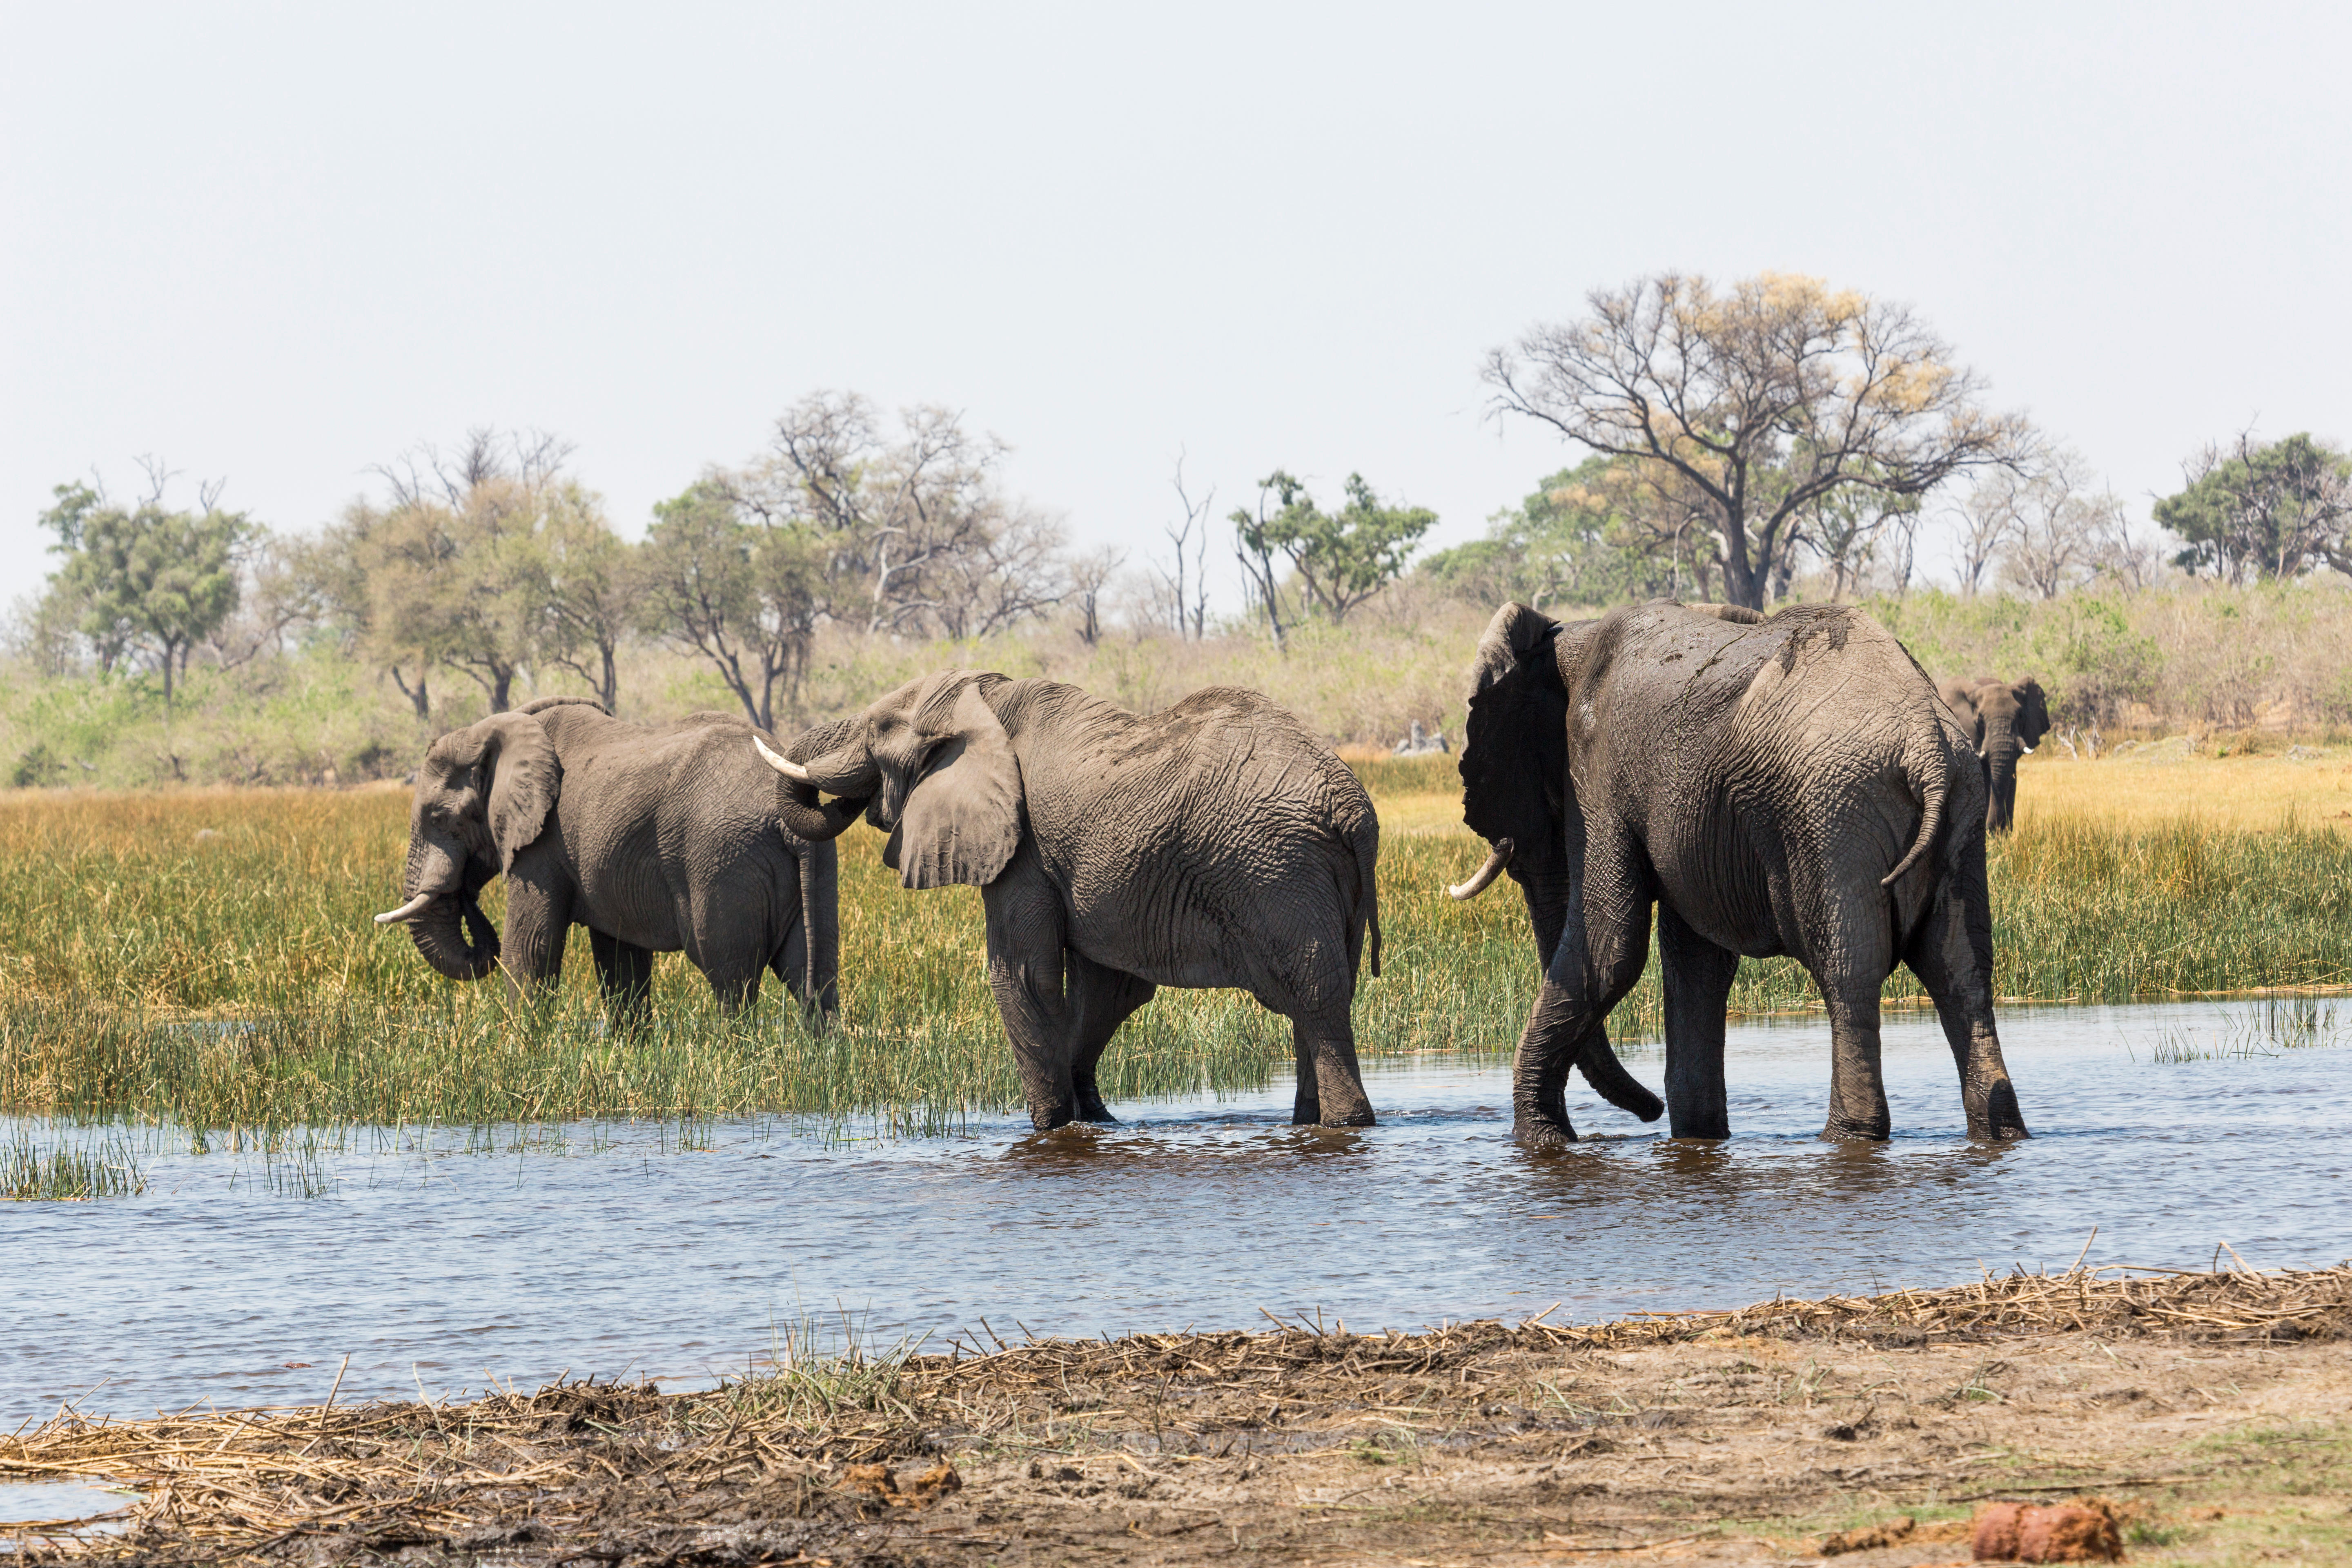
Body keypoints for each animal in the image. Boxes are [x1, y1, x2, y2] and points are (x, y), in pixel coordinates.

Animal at [372, 700, 842, 1025]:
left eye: (438, 819)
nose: (466, 893)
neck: (500, 727)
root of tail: (782, 809)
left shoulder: (543, 843)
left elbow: (530, 947)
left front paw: (528, 1050)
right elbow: (620, 959)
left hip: (722, 858)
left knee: (730, 974)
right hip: (815, 860)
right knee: (812, 972)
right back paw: (821, 1056)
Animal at [753, 668, 1383, 1133]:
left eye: (878, 729)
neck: (983, 698)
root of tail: (1352, 807)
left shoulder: (1023, 847)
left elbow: (1023, 976)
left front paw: (1051, 1128)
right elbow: (1110, 989)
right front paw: (1095, 1121)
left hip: (1278, 869)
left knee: (1315, 996)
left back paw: (1347, 1124)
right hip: (1317, 878)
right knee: (1321, 996)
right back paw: (1309, 1122)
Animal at [1439, 606, 2032, 1147]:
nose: (1648, 1113)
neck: (1566, 635)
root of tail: (1927, 745)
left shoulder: (1598, 771)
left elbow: (1612, 949)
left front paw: (1541, 1142)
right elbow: (1697, 963)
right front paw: (1698, 1138)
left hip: (1832, 814)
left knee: (1849, 974)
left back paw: (1846, 1136)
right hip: (1959, 810)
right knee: (1961, 974)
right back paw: (2000, 1131)